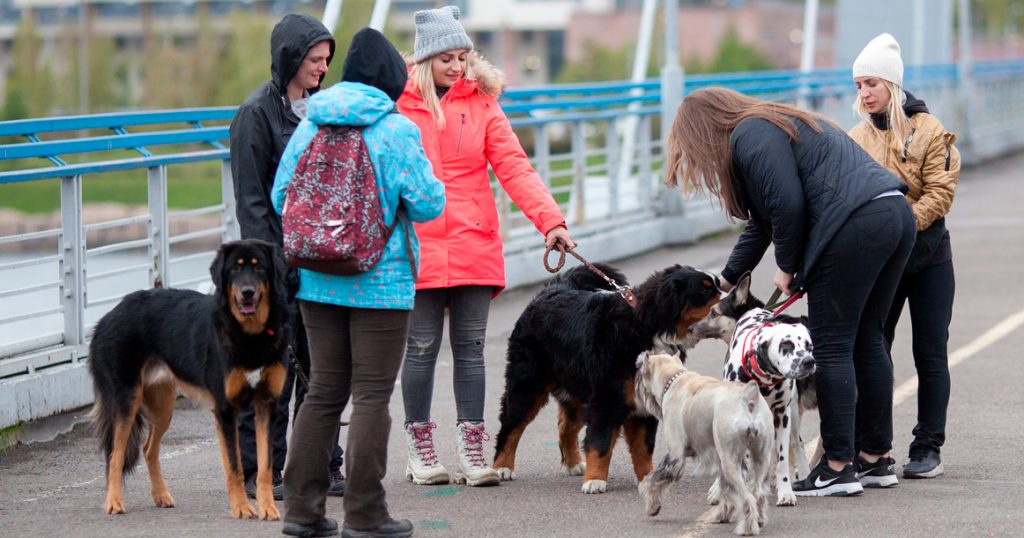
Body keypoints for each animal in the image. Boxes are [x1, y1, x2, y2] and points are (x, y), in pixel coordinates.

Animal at [86, 239, 294, 520]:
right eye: (235, 269)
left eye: (259, 267)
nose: (247, 293)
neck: (249, 334)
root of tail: (108, 315)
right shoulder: (225, 410)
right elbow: (235, 466)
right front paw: (241, 507)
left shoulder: (266, 404)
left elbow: (264, 467)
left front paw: (268, 508)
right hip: (126, 399)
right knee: (115, 454)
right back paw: (114, 502)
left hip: (162, 406)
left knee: (148, 449)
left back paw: (161, 496)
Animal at [493, 262, 720, 493]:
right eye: (705, 290)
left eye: (718, 285)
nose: (729, 302)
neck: (645, 327)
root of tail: (553, 289)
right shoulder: (607, 398)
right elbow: (600, 442)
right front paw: (595, 480)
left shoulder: (642, 404)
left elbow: (643, 447)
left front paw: (646, 479)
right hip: (527, 387)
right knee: (510, 426)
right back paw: (502, 468)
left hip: (578, 392)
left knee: (565, 426)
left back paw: (572, 464)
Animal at [634, 352, 770, 532]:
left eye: (639, 369)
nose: (635, 389)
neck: (675, 379)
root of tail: (749, 396)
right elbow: (726, 493)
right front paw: (723, 514)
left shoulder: (675, 457)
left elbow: (652, 481)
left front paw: (652, 506)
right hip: (759, 459)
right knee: (757, 493)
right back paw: (756, 520)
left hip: (730, 463)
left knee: (748, 498)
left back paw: (747, 529)